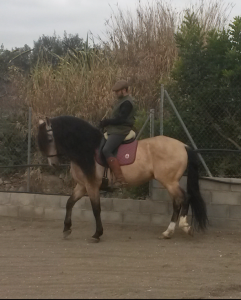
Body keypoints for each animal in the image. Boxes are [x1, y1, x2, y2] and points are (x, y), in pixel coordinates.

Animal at [37, 115, 207, 241]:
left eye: (50, 139)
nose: (53, 164)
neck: (87, 149)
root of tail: (183, 146)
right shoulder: (82, 185)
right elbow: (69, 203)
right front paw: (66, 229)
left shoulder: (92, 185)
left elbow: (96, 209)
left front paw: (97, 234)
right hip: (170, 182)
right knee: (178, 202)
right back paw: (169, 232)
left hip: (169, 181)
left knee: (184, 198)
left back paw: (182, 227)